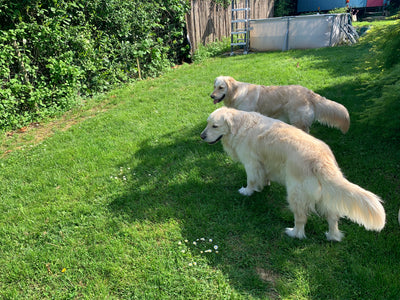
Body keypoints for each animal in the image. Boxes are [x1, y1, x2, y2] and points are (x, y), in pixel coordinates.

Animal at [202, 106, 386, 240]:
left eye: (215, 126)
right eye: (207, 123)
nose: (202, 136)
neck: (241, 125)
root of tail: (321, 160)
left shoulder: (251, 163)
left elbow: (251, 181)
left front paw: (247, 191)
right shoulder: (264, 164)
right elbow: (263, 177)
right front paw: (264, 185)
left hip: (295, 193)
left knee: (301, 219)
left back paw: (293, 233)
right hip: (325, 195)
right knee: (332, 218)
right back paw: (332, 236)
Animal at [209, 75, 350, 133]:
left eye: (221, 87)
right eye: (214, 86)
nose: (211, 96)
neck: (236, 93)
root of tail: (309, 92)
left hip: (298, 120)